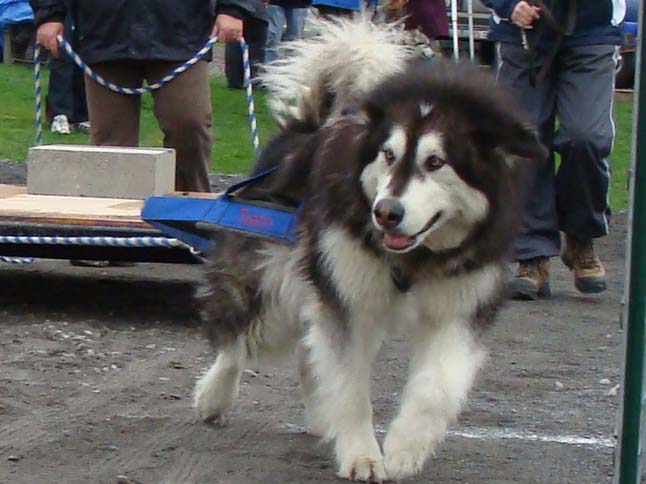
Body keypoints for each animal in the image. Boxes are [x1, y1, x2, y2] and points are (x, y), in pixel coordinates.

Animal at [194, 17, 548, 482]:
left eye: (436, 162)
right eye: (388, 154)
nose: (386, 213)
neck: (417, 257)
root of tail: (311, 124)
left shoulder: (459, 308)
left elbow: (435, 390)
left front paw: (403, 450)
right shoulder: (349, 299)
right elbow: (348, 384)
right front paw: (361, 454)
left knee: (307, 350)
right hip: (276, 282)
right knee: (239, 342)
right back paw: (213, 396)